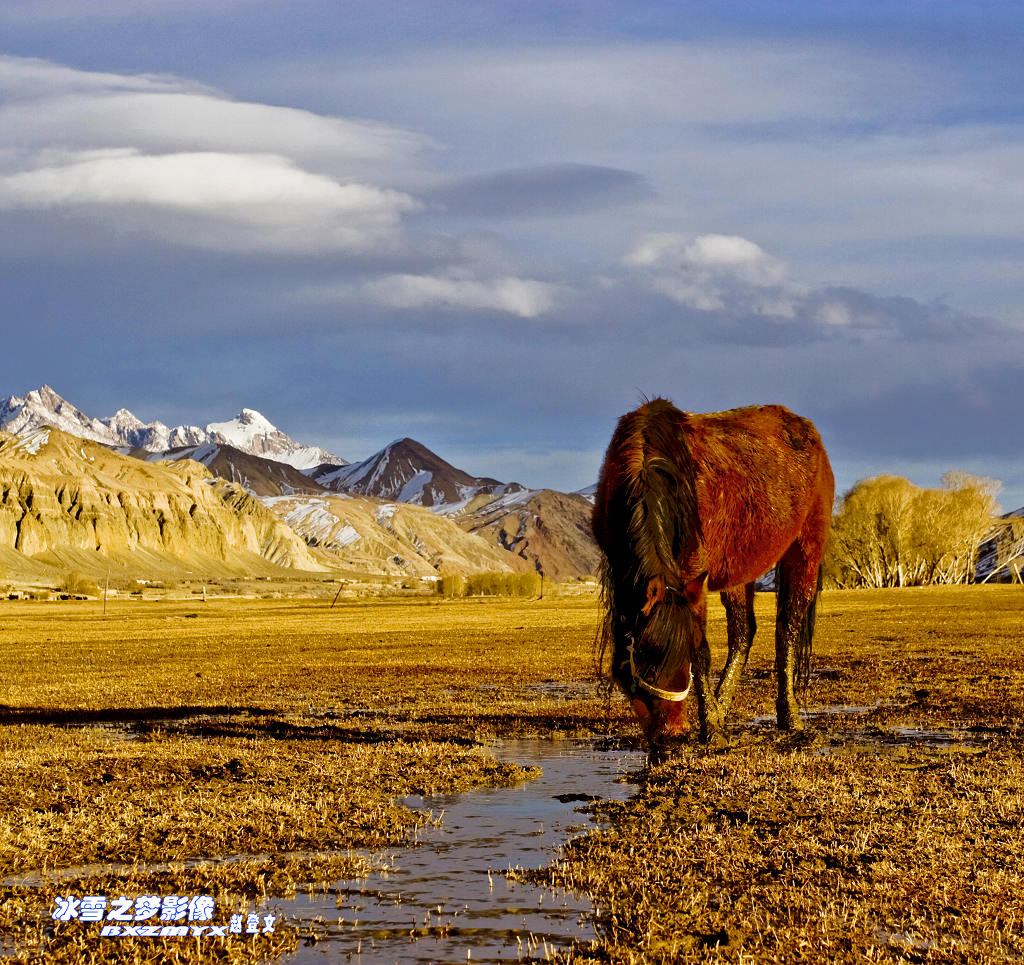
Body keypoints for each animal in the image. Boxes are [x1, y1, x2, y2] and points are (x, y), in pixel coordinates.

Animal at [593, 399, 831, 749]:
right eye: (646, 668)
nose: (673, 733)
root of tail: (807, 428)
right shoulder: (621, 576)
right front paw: (715, 719)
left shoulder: (693, 578)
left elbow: (702, 652)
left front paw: (711, 728)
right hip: (739, 571)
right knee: (743, 634)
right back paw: (723, 705)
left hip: (804, 553)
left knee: (787, 629)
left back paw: (789, 718)